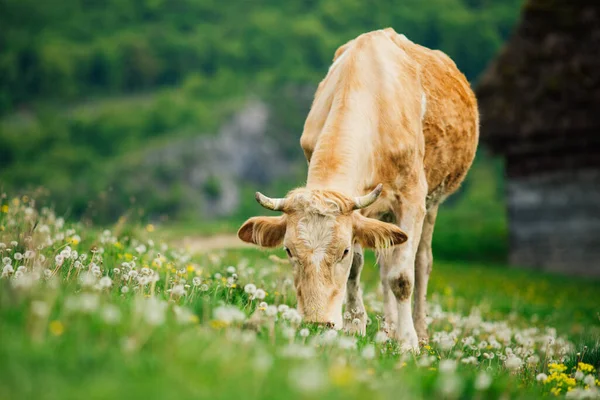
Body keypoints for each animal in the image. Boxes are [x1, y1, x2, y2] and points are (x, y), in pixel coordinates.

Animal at [239, 28, 478, 350]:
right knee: (386, 261)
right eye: (288, 250)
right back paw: (388, 329)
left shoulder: (412, 198)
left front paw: (408, 343)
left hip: (433, 201)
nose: (319, 323)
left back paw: (419, 332)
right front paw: (355, 326)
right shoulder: (359, 213)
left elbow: (402, 276)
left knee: (421, 262)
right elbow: (360, 268)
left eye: (342, 250)